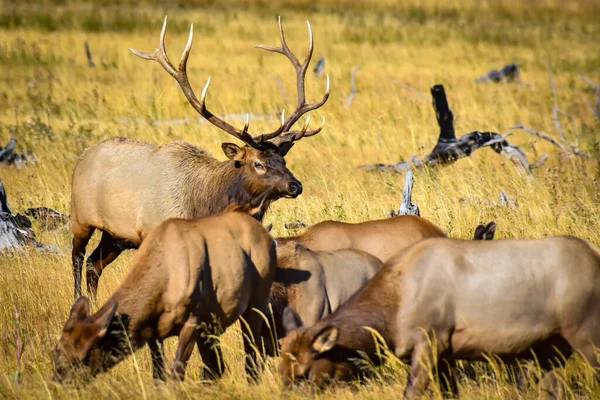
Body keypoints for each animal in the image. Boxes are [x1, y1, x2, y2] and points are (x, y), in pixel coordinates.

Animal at [54, 205, 274, 382]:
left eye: (83, 357)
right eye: (57, 352)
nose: (60, 382)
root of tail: (269, 236)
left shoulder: (192, 322)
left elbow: (176, 374)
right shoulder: (154, 331)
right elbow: (159, 377)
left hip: (255, 305)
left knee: (253, 357)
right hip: (213, 324)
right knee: (216, 367)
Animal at [72, 15, 330, 298]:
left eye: (283, 160)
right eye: (258, 163)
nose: (295, 185)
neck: (204, 204)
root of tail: (84, 155)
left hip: (116, 235)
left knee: (94, 266)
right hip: (80, 217)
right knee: (78, 259)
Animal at [278, 236, 600, 398]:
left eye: (304, 372)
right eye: (281, 371)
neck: (392, 312)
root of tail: (594, 255)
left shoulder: (429, 341)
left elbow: (411, 393)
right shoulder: (446, 352)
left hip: (586, 335)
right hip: (551, 348)